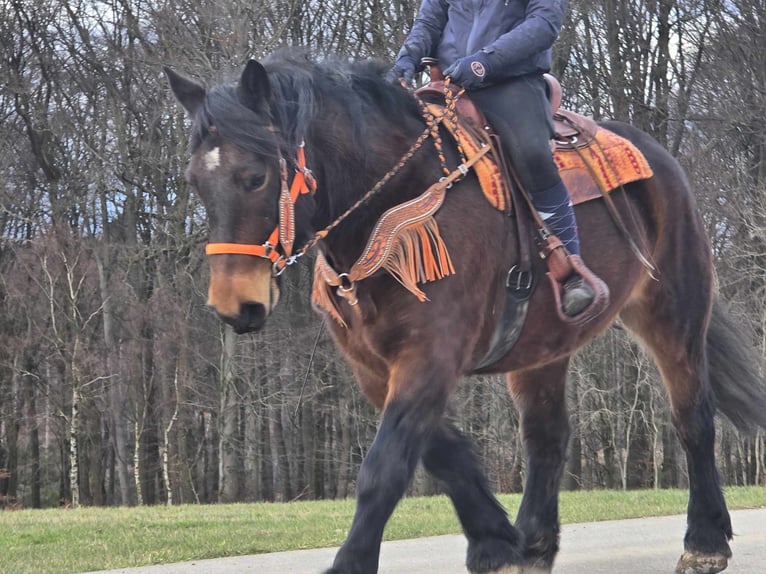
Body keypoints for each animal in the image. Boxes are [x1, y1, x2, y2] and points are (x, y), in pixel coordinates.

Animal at [166, 50, 766, 574]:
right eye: (195, 181)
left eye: (256, 177)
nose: (234, 304)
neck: (394, 205)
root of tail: (658, 157)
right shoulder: (374, 367)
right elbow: (443, 452)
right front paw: (497, 543)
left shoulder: (431, 354)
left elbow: (385, 467)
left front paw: (353, 562)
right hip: (544, 347)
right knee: (547, 438)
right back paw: (536, 544)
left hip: (673, 312)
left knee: (693, 419)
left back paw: (705, 542)